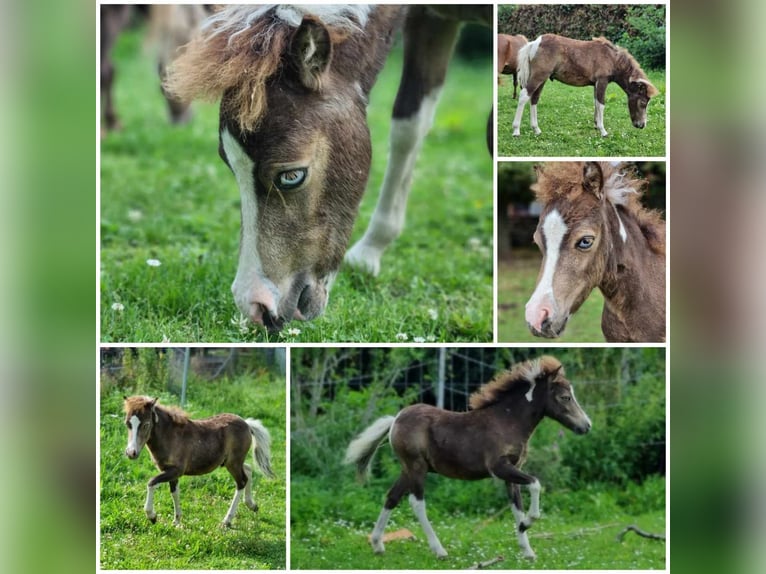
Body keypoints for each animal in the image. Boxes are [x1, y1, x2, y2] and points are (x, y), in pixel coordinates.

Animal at [124, 398, 280, 528]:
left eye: (146, 424)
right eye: (128, 424)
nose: (131, 452)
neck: (170, 436)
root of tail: (247, 424)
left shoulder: (176, 470)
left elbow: (151, 482)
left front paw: (152, 516)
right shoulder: (170, 472)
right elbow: (174, 492)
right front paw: (176, 521)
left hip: (233, 463)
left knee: (241, 481)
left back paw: (227, 521)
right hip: (232, 462)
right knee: (248, 470)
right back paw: (252, 505)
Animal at [165, 3, 496, 332]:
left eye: (291, 176)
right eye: (232, 168)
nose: (256, 307)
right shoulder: (430, 20)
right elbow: (408, 126)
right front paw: (371, 250)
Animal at [344, 358, 592, 560]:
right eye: (565, 397)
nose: (586, 426)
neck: (507, 421)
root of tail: (396, 419)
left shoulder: (511, 472)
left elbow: (517, 506)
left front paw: (527, 550)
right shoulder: (499, 468)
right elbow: (536, 484)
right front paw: (528, 523)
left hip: (408, 469)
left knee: (392, 497)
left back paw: (377, 544)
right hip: (416, 468)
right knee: (416, 502)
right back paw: (439, 550)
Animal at [512, 34, 664, 137]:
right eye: (643, 102)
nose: (641, 125)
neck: (612, 58)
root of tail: (535, 43)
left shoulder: (595, 84)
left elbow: (596, 102)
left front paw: (596, 125)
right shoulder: (602, 81)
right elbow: (601, 104)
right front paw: (603, 131)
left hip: (542, 79)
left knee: (534, 98)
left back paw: (536, 129)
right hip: (539, 76)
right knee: (524, 96)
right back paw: (516, 130)